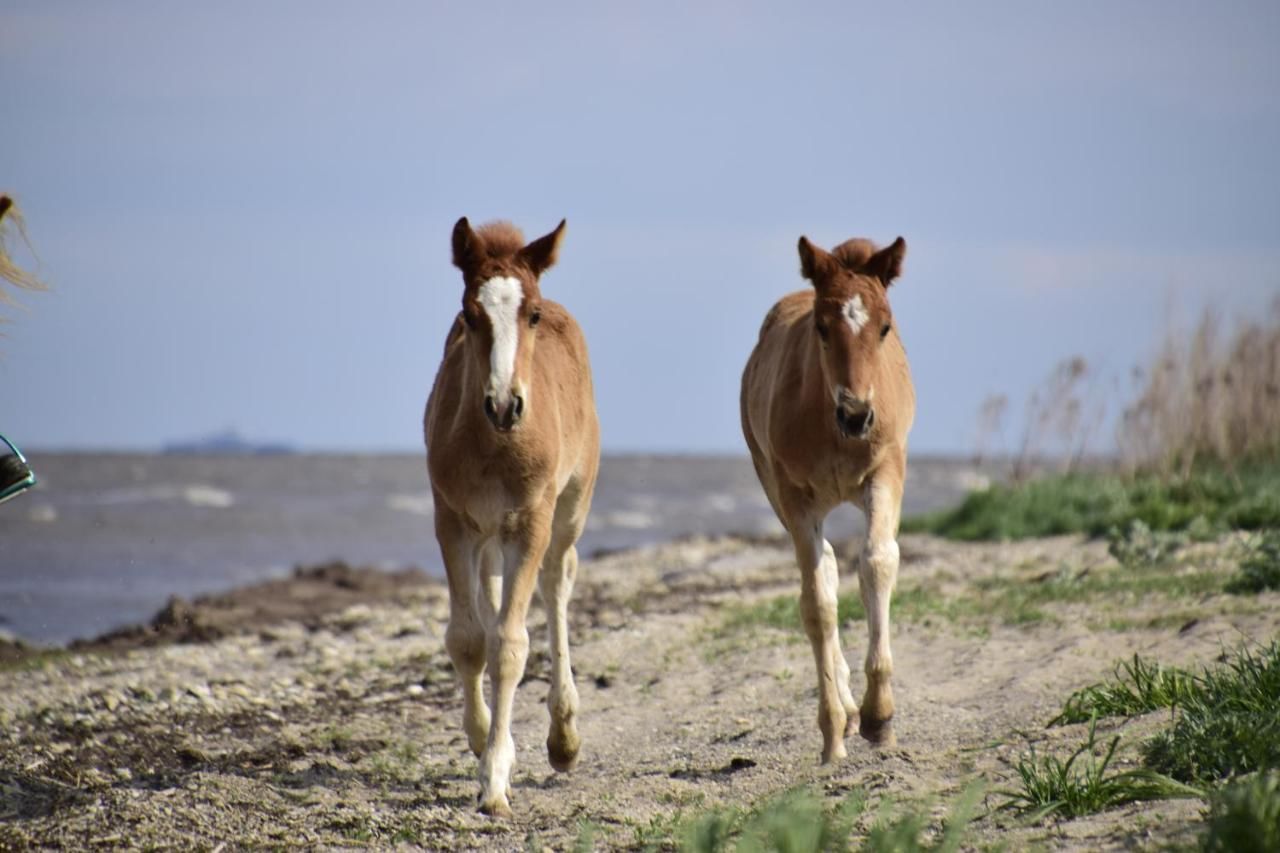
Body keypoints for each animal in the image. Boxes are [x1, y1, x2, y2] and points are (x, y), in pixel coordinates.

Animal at [419, 216, 599, 814]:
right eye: (469, 314)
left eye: (532, 314)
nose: (504, 405)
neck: (494, 445)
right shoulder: (452, 521)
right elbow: (469, 639)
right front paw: (481, 742)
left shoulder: (530, 521)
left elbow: (509, 646)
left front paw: (496, 776)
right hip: (487, 533)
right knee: (493, 598)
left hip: (570, 507)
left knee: (557, 583)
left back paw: (563, 737)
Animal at [747, 230, 916, 758]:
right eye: (822, 327)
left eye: (885, 327)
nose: (856, 415)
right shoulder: (795, 496)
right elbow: (818, 603)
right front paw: (835, 727)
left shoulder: (886, 473)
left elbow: (877, 562)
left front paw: (881, 717)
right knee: (821, 571)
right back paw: (843, 712)